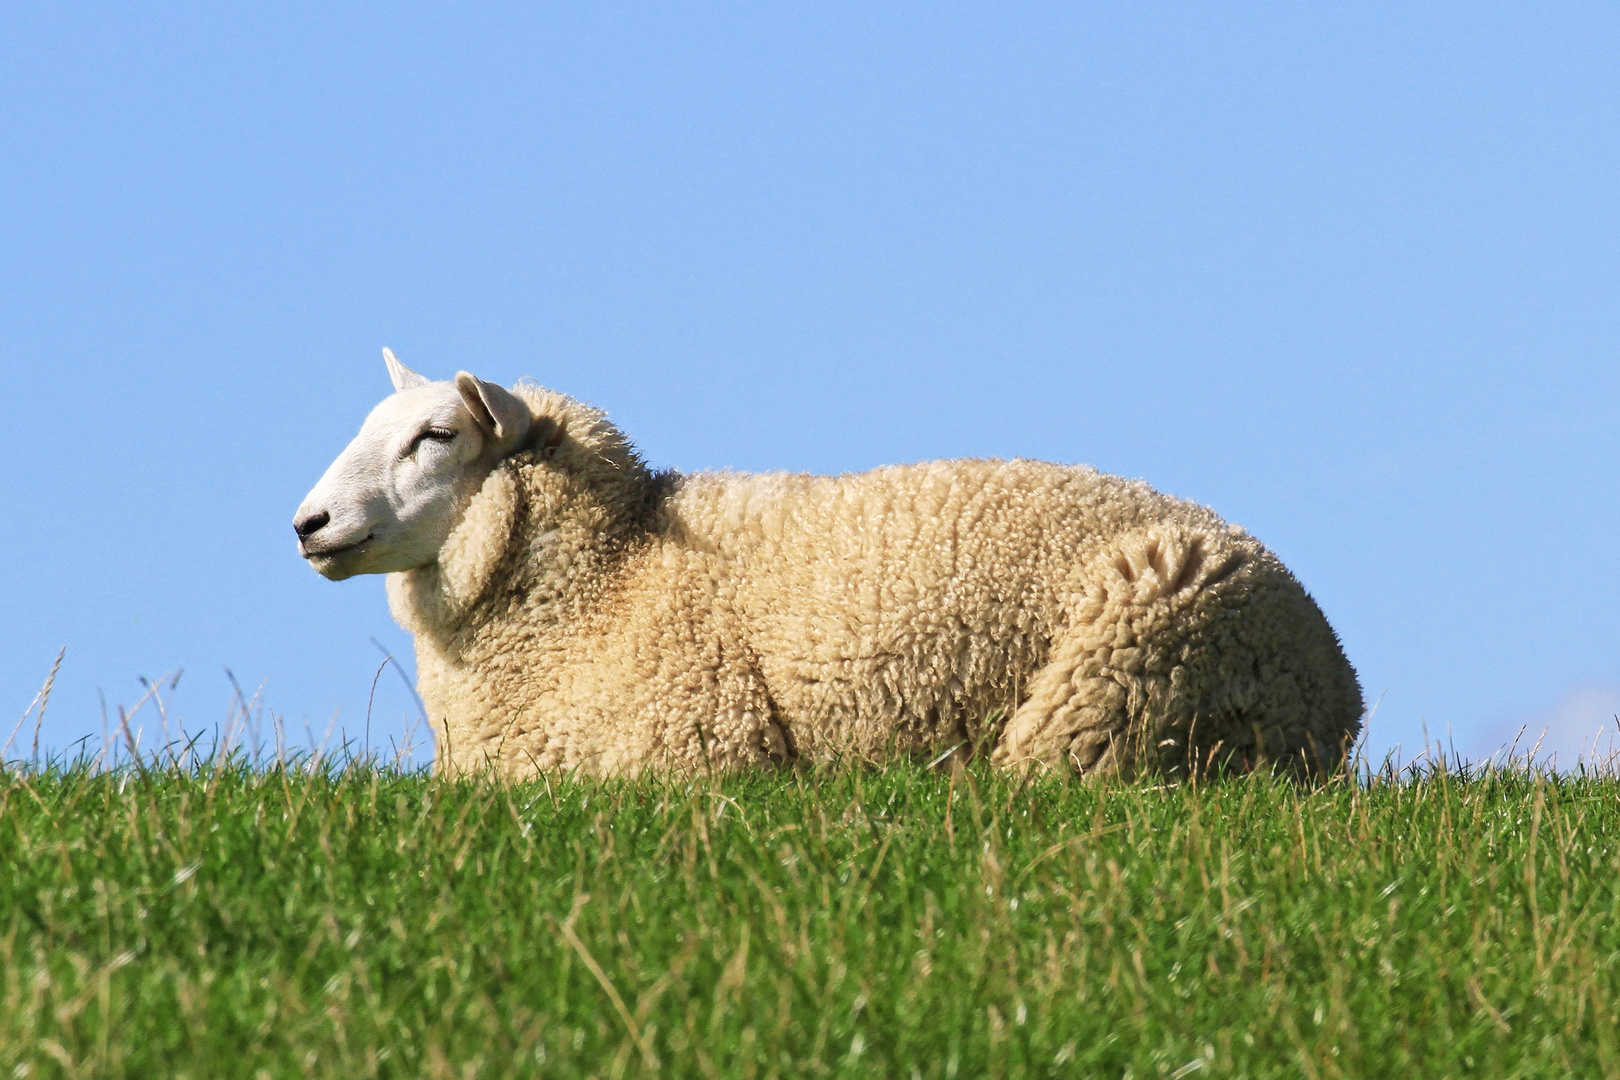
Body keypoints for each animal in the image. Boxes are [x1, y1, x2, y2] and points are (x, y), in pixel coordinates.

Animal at [298, 351, 1360, 780]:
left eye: (437, 437)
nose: (308, 524)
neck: (614, 569)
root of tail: (1338, 685)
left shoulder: (693, 753)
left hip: (1123, 678)